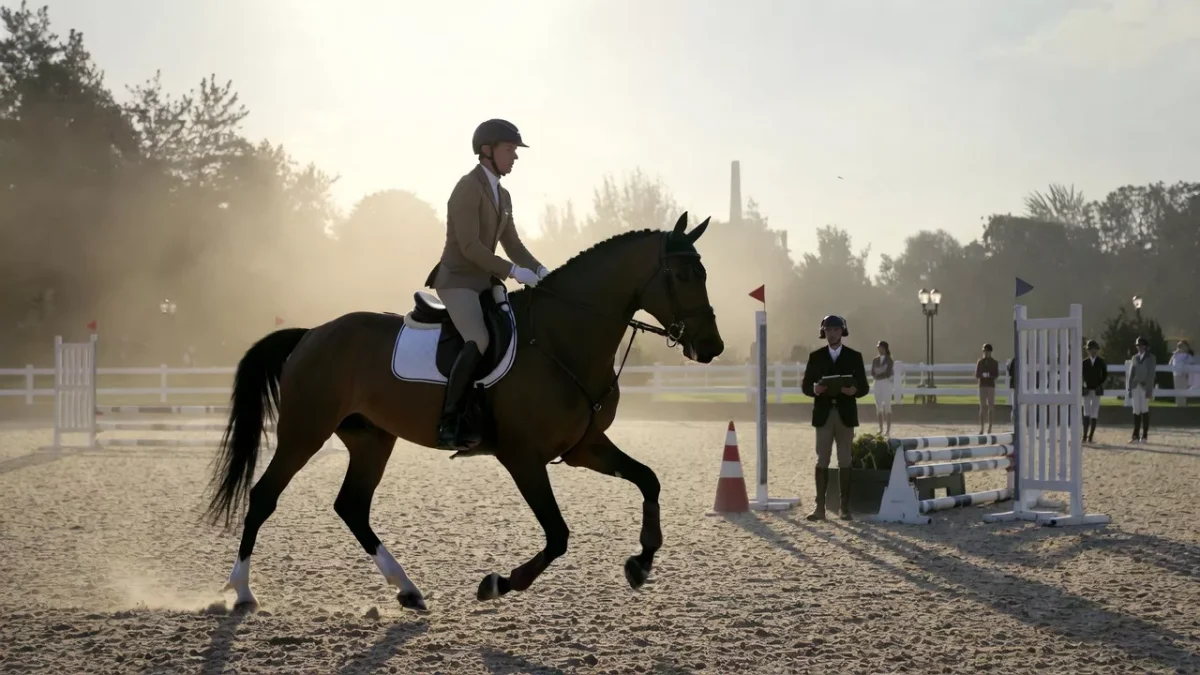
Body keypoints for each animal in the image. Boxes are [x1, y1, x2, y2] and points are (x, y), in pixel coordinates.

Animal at [203, 212, 724, 611]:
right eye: (682, 276)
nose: (711, 348)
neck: (562, 338)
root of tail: (312, 333)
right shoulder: (523, 457)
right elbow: (558, 535)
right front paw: (498, 584)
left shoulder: (584, 448)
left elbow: (649, 480)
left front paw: (642, 562)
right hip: (304, 431)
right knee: (264, 496)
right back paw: (242, 593)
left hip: (371, 438)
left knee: (351, 506)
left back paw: (408, 591)